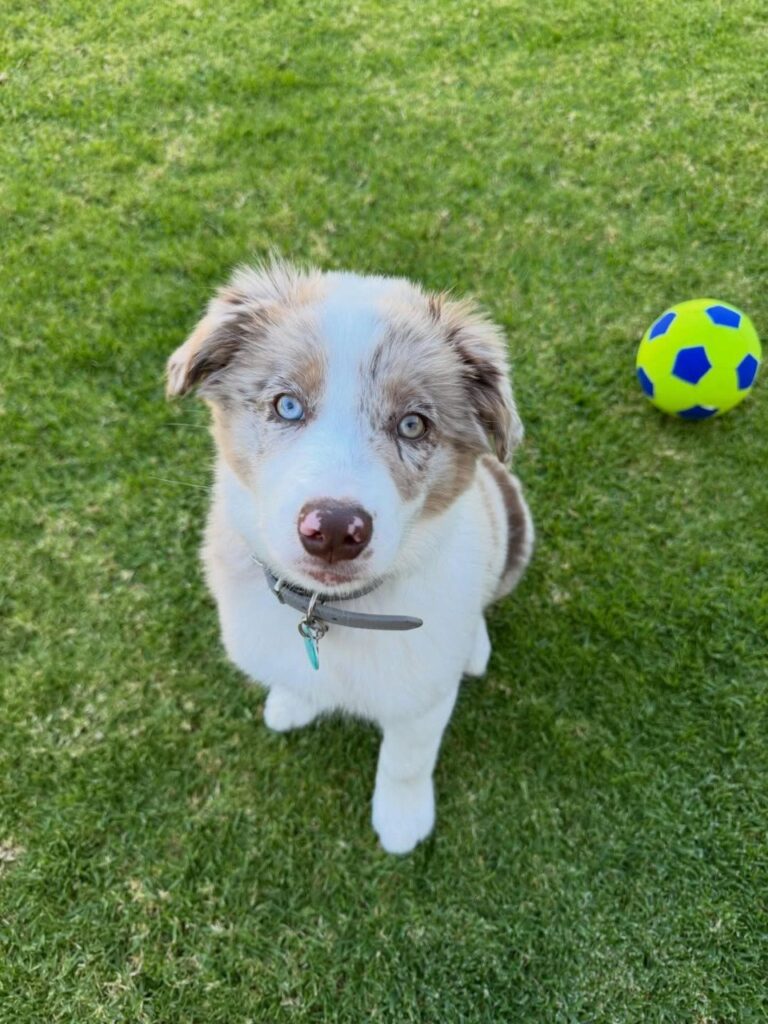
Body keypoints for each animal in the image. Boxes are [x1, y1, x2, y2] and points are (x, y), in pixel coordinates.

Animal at [166, 258, 533, 854]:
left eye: (413, 424)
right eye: (287, 405)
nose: (335, 530)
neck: (331, 612)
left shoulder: (422, 700)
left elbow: (406, 761)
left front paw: (402, 819)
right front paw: (292, 702)